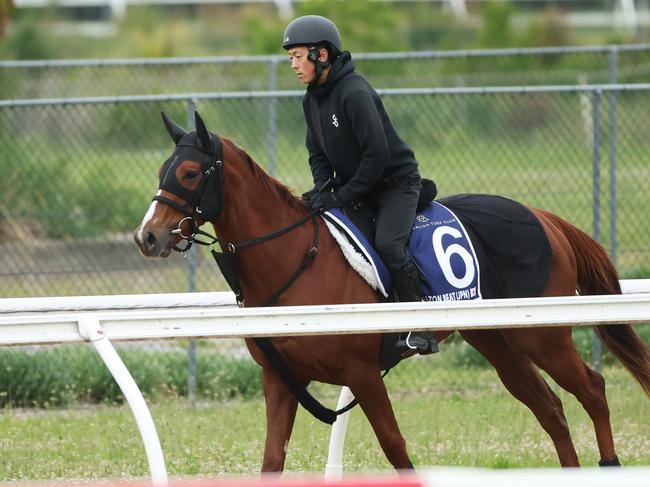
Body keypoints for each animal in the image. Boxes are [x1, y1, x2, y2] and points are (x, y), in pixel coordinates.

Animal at [133, 111, 648, 472]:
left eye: (191, 173)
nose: (148, 237)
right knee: (552, 409)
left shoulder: (361, 373)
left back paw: (609, 463)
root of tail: (544, 216)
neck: (297, 260)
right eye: (162, 170)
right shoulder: (279, 381)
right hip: (499, 344)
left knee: (593, 389)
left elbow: (395, 447)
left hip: (542, 336)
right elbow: (272, 459)